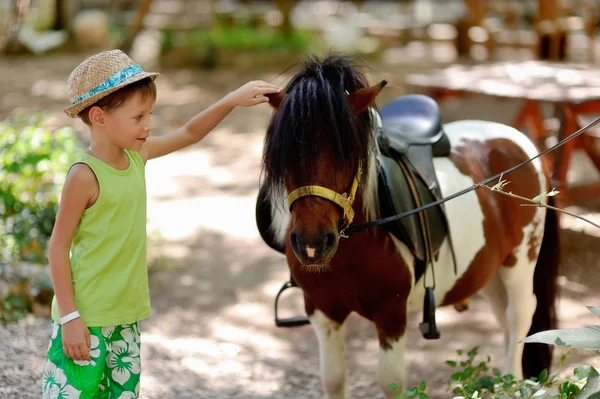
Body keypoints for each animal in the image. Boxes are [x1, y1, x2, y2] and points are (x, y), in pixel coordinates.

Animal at [255, 54, 560, 399]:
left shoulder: (392, 313)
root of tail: (523, 143)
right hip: (489, 269)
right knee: (505, 320)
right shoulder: (322, 310)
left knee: (519, 315)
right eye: (285, 155)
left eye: (348, 153)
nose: (312, 243)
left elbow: (391, 381)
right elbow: (333, 378)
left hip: (520, 260)